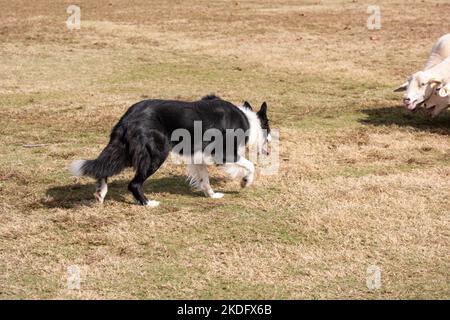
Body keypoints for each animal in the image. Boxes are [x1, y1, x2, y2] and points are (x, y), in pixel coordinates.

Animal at [70, 95, 270, 206]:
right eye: (269, 129)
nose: (269, 149)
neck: (248, 120)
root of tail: (128, 117)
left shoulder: (198, 157)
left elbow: (204, 179)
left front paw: (212, 195)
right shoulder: (224, 153)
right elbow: (250, 165)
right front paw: (245, 182)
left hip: (125, 149)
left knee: (104, 166)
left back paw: (101, 192)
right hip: (157, 154)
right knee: (133, 183)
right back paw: (148, 203)